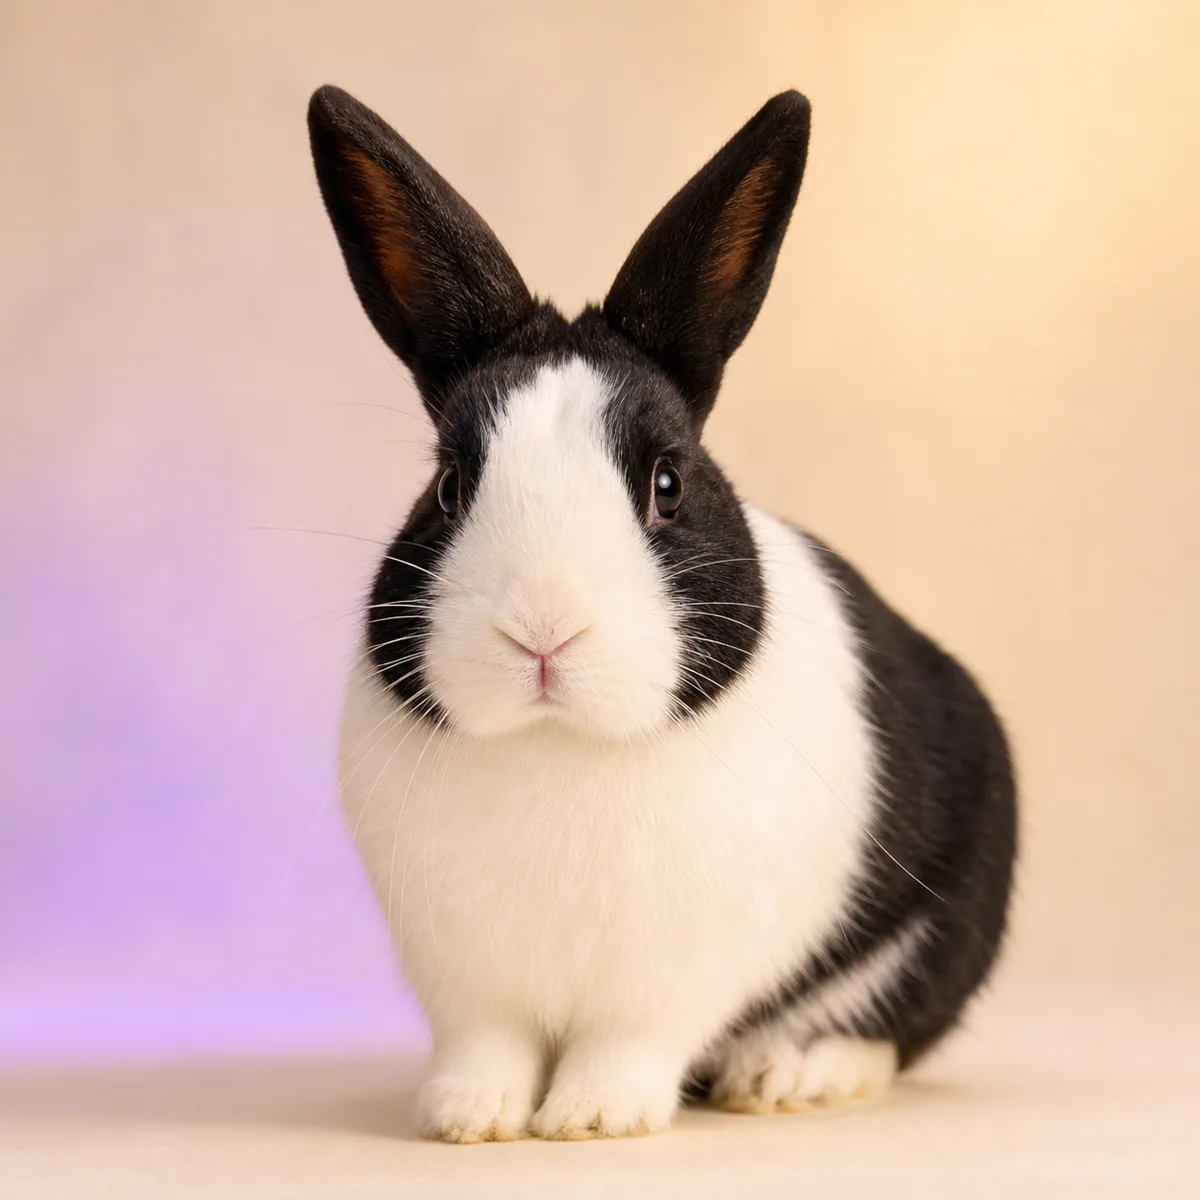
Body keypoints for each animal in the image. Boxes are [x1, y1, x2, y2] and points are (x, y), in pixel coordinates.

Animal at [308, 83, 1017, 1143]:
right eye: (449, 487)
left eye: (668, 485)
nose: (543, 631)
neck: (557, 744)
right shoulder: (467, 985)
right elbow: (488, 1047)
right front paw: (470, 1117)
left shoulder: (668, 983)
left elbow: (625, 1045)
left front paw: (591, 1119)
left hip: (949, 918)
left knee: (888, 1028)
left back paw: (787, 1075)